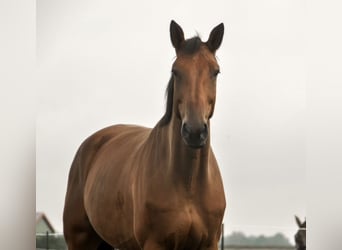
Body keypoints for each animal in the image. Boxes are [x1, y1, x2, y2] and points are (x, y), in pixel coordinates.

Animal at [62, 20, 226, 250]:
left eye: (215, 72)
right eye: (176, 71)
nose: (194, 132)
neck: (189, 184)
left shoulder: (209, 244)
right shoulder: (154, 243)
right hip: (80, 240)